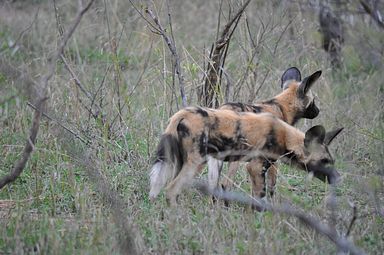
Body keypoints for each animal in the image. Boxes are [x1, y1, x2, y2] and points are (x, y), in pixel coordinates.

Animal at [148, 106, 342, 206]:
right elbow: (260, 198)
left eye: (332, 161)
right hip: (196, 162)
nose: (337, 178)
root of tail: (184, 112)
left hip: (181, 163)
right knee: (171, 190)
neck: (285, 137)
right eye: (324, 161)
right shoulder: (255, 167)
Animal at [210, 67, 324, 197]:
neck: (282, 107)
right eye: (313, 100)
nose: (318, 111)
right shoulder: (271, 162)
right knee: (226, 185)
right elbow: (270, 189)